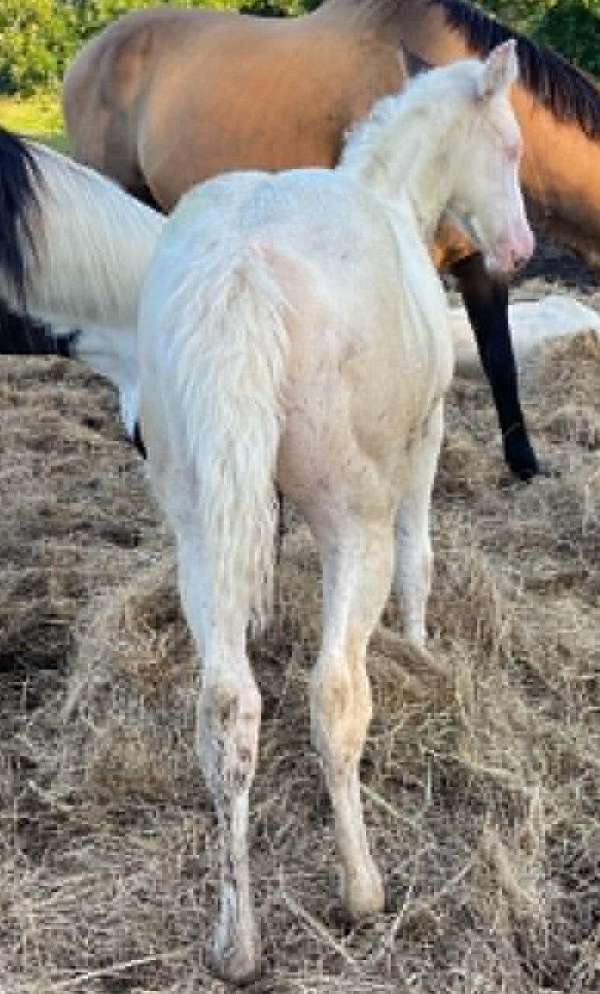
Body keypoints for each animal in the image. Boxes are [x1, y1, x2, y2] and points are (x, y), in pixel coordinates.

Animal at [63, 0, 600, 481]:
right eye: (512, 148)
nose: (521, 247)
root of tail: (91, 53)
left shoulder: (475, 263)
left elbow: (500, 359)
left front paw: (525, 463)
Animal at [137, 43, 533, 982]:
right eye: (510, 147)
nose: (522, 250)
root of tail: (239, 268)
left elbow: (266, 563)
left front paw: (271, 618)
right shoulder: (425, 440)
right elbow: (421, 553)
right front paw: (420, 646)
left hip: (195, 524)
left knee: (227, 707)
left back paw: (236, 943)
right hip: (354, 519)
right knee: (336, 693)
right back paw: (362, 889)